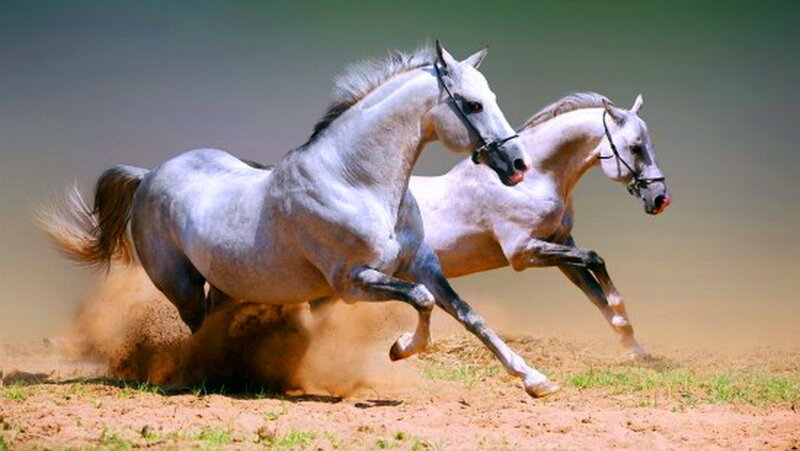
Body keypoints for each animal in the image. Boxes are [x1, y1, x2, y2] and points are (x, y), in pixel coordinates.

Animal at [40, 42, 564, 397]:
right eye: (473, 104)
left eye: (491, 96)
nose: (518, 165)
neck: (355, 181)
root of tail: (149, 175)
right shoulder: (352, 282)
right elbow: (421, 301)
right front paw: (399, 348)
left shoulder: (421, 264)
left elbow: (467, 314)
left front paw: (535, 380)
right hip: (181, 284)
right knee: (197, 329)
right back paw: (206, 374)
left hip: (228, 284)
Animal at [411, 93, 670, 357]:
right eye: (635, 147)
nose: (660, 199)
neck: (531, 181)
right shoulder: (522, 252)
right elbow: (594, 258)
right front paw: (621, 316)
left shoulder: (561, 244)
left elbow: (595, 293)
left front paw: (635, 348)